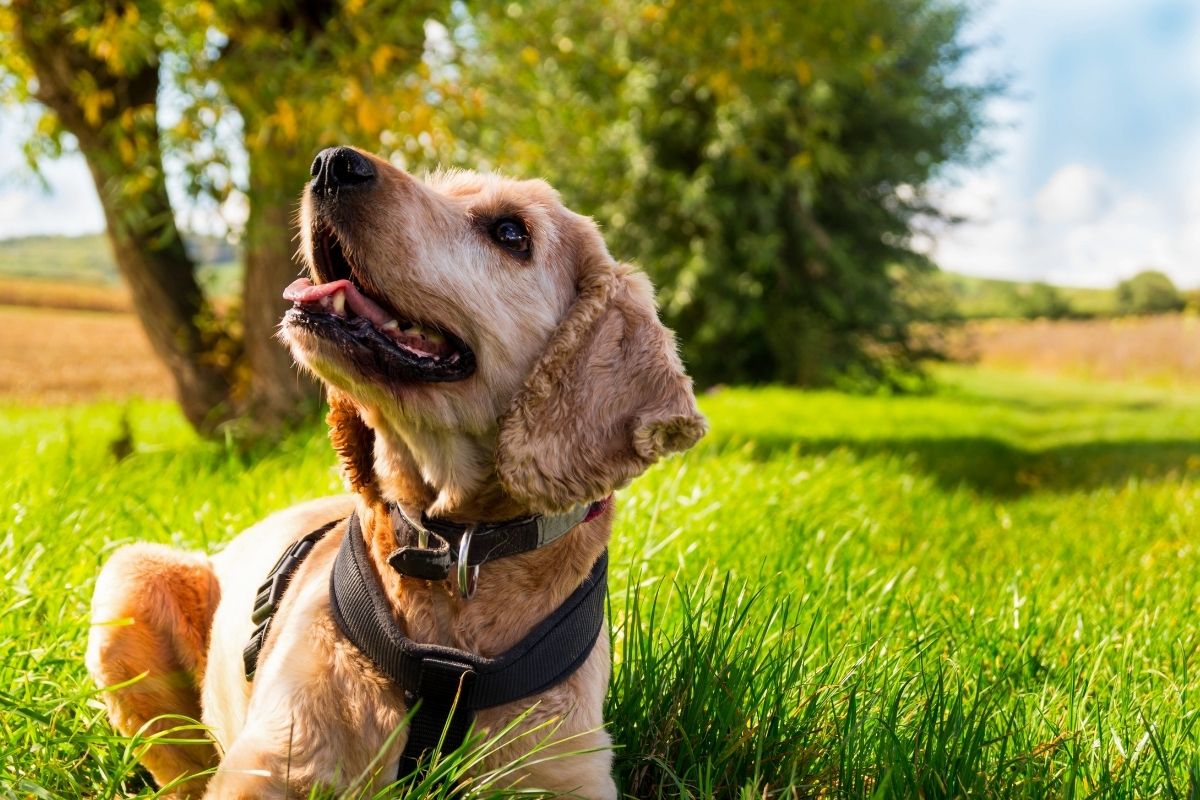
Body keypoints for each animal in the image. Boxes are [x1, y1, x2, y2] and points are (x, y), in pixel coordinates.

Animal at [88, 146, 705, 796]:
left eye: (511, 233)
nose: (331, 162)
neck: (454, 550)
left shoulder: (567, 774)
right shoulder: (269, 761)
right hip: (127, 581)